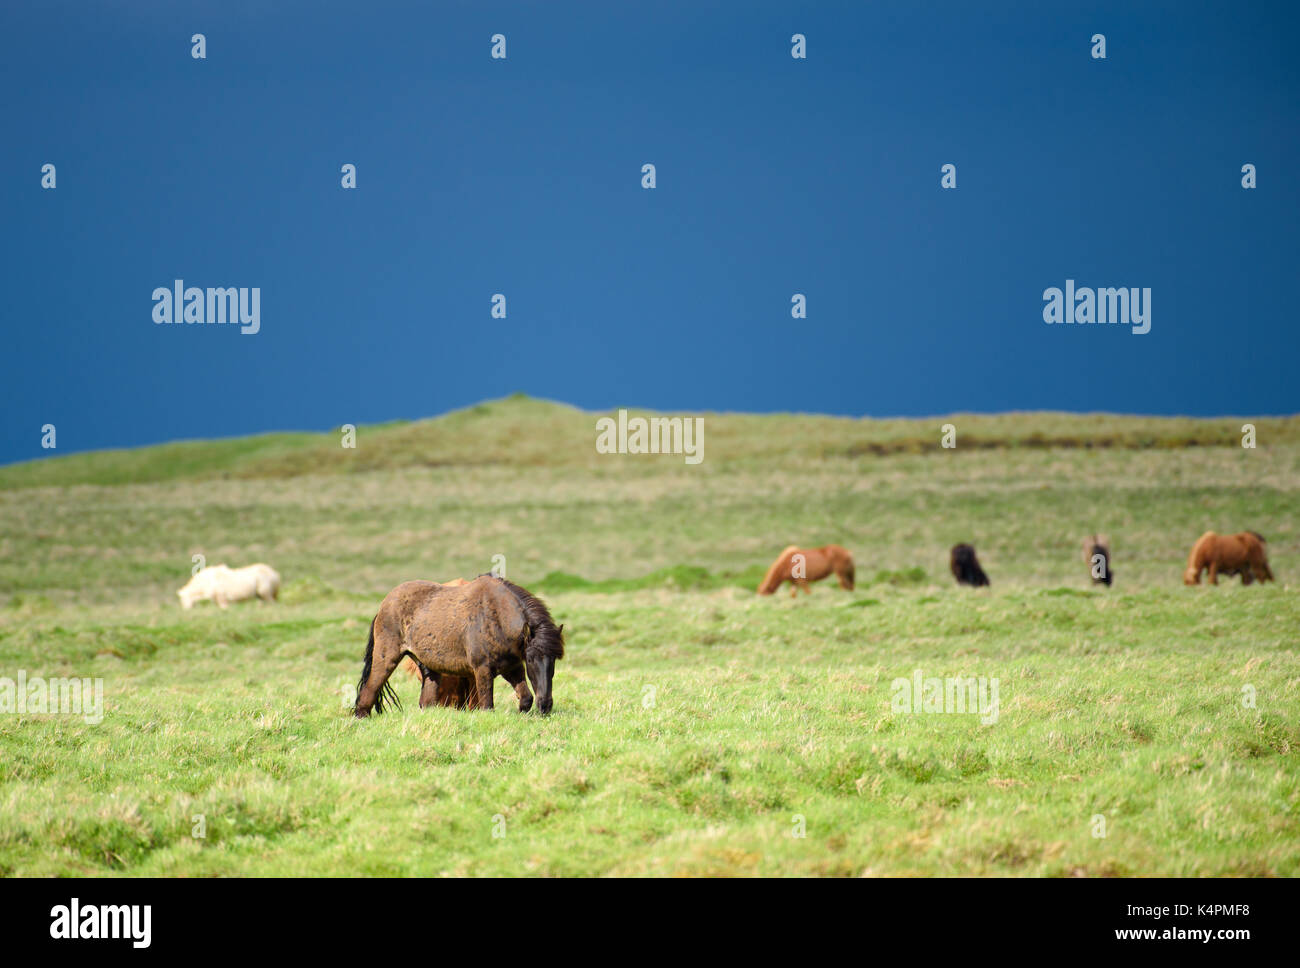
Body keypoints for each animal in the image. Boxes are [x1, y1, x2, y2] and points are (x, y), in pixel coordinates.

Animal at [356, 574, 564, 717]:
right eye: (531, 659)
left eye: (554, 659)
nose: (545, 705)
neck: (496, 617)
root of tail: (384, 605)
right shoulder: (482, 670)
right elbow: (487, 706)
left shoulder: (511, 667)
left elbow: (526, 699)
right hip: (386, 658)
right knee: (368, 692)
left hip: (429, 669)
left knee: (425, 702)